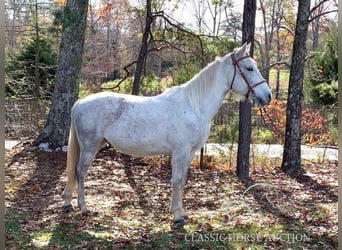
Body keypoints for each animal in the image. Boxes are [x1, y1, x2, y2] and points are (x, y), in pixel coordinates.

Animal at [62, 42, 272, 225]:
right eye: (249, 68)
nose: (267, 96)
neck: (194, 106)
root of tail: (79, 103)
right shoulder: (180, 152)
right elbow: (176, 181)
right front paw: (177, 217)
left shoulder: (190, 153)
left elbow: (182, 181)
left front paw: (182, 213)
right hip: (89, 147)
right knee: (80, 172)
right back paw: (83, 207)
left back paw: (68, 203)